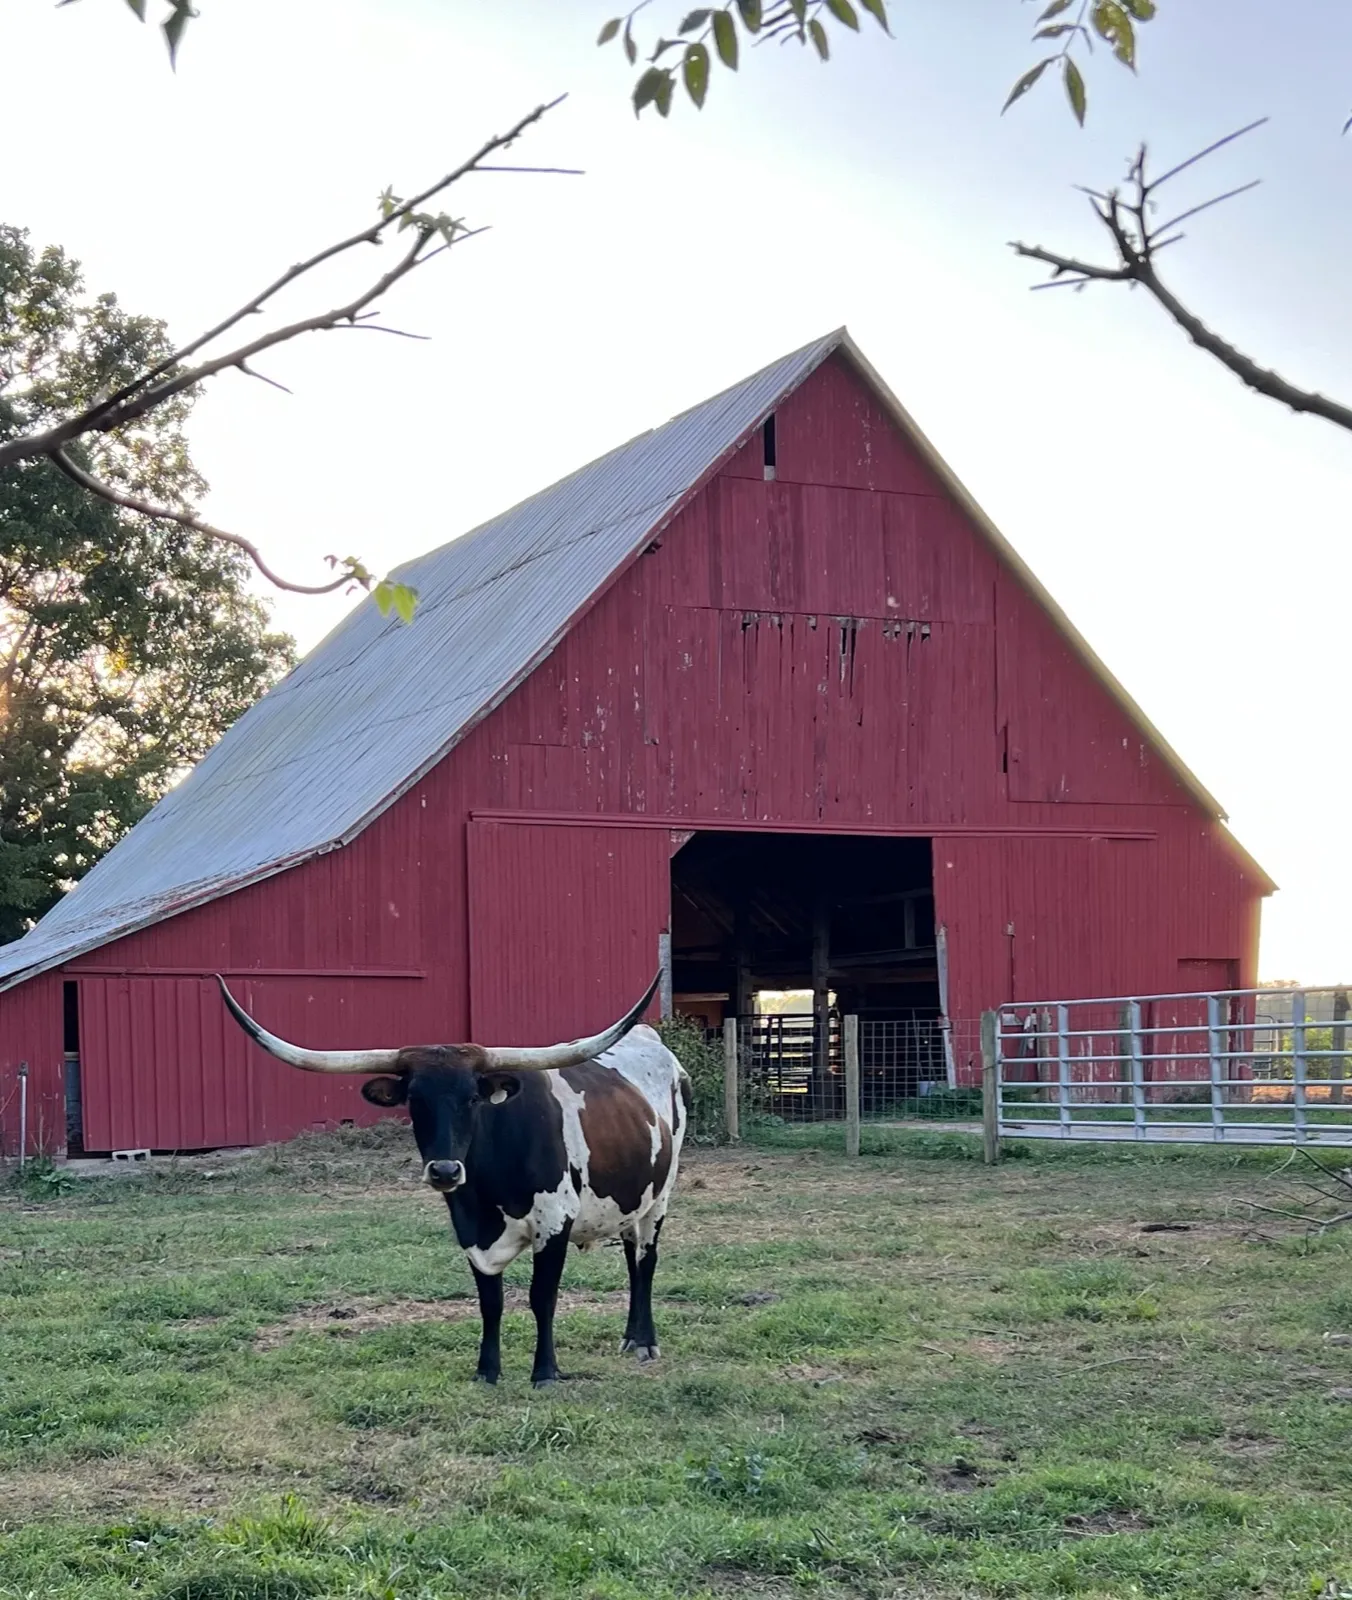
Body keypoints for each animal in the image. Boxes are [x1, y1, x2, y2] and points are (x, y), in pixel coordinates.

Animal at [216, 974, 689, 1387]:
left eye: (473, 1098)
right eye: (414, 1100)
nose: (444, 1170)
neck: (486, 1193)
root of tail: (649, 1039)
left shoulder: (554, 1221)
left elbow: (542, 1298)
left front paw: (545, 1373)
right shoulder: (469, 1231)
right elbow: (490, 1303)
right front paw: (487, 1371)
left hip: (661, 1197)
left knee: (645, 1260)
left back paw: (645, 1342)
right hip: (633, 1199)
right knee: (630, 1256)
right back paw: (629, 1337)